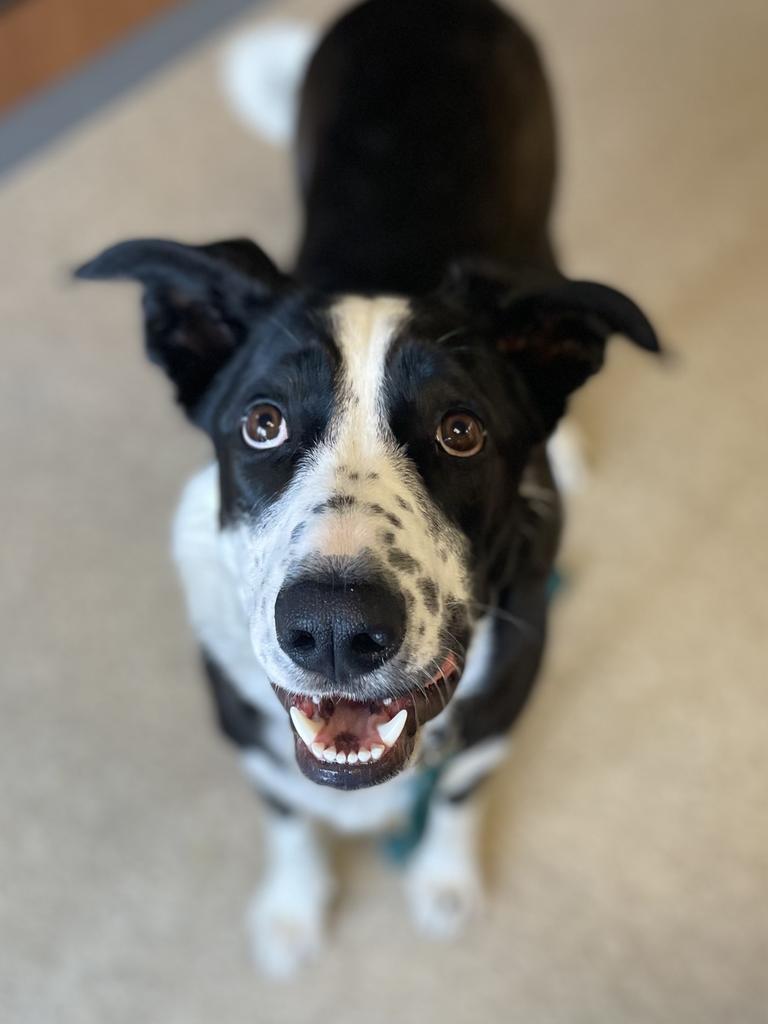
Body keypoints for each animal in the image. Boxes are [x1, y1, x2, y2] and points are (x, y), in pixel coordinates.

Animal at [75, 0, 659, 974]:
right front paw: (291, 910)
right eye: (262, 423)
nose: (338, 631)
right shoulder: (250, 736)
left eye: (461, 431)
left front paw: (444, 883)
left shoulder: (498, 718)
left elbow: (457, 799)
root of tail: (426, 4)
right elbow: (288, 819)